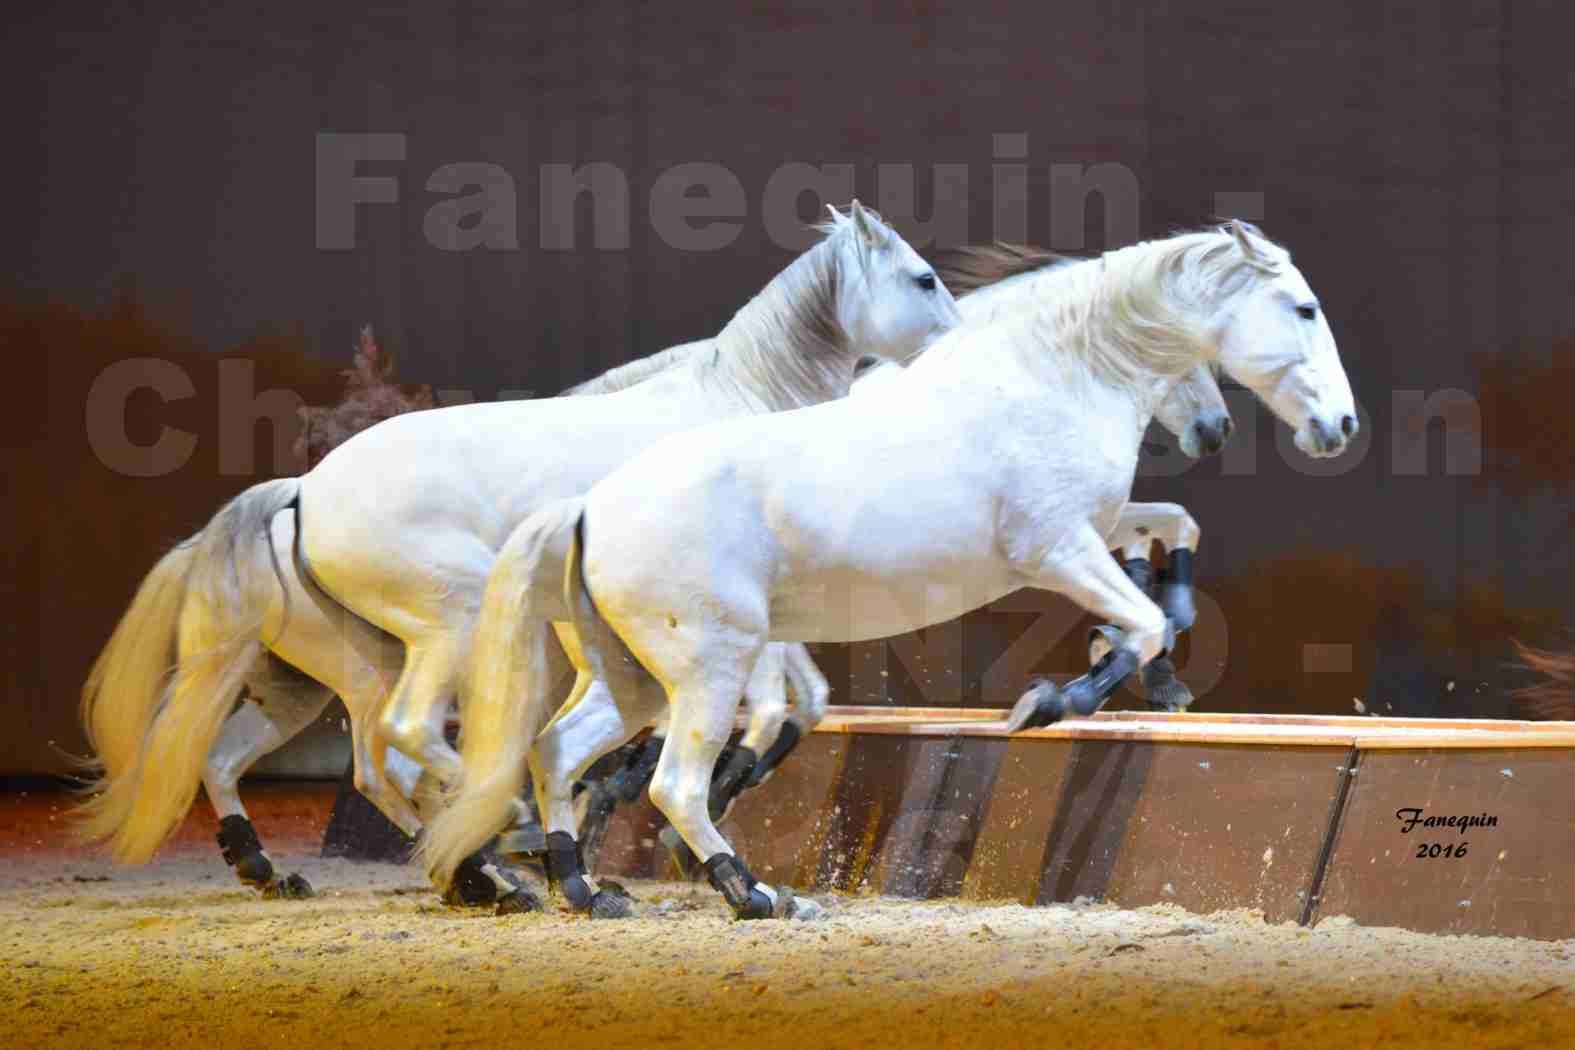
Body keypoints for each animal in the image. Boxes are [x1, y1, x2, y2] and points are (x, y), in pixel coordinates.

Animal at [441, 221, 1354, 919]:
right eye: (1304, 307)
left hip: (633, 676)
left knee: (558, 752)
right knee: (674, 785)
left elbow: (1164, 547)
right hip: (705, 670)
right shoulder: (1056, 549)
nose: (1339, 427)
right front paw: (1050, 702)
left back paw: (584, 887)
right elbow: (1143, 620)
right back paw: (752, 894)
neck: (1051, 376)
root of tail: (590, 504)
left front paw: (1133, 674)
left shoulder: (1093, 532)